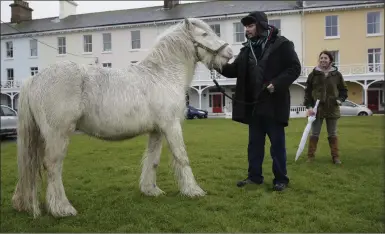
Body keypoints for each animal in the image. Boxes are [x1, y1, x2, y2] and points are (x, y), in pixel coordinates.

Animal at [12, 17, 232, 218]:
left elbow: (152, 160)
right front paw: (193, 191)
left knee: (31, 166)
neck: (162, 76)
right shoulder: (171, 126)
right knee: (53, 166)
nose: (229, 53)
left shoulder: (157, 130)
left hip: (42, 136)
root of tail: (34, 78)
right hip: (58, 134)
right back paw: (62, 208)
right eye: (204, 34)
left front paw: (151, 190)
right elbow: (182, 157)